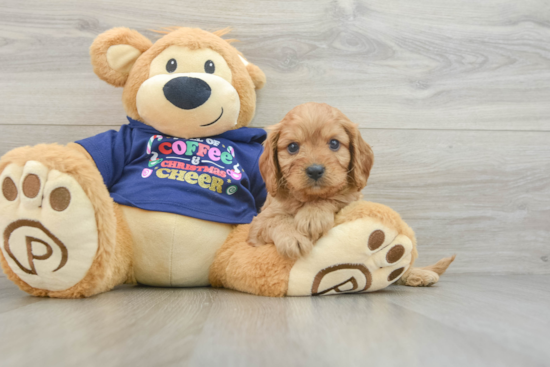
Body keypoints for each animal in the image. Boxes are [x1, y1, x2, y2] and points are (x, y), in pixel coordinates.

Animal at [249, 103, 376, 258]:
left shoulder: (353, 199)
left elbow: (336, 196)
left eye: (334, 143)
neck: (308, 198)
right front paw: (292, 238)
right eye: (292, 147)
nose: (315, 171)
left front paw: (312, 216)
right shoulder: (258, 225)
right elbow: (276, 219)